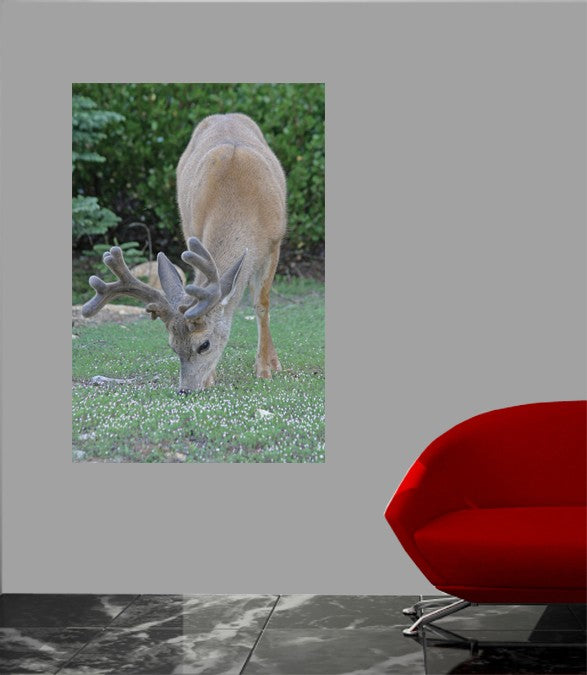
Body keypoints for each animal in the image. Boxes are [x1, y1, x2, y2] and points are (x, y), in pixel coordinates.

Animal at [82, 113, 287, 393]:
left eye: (204, 344)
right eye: (172, 346)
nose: (185, 389)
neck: (241, 202)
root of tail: (224, 115)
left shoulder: (274, 243)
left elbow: (262, 304)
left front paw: (264, 368)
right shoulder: (194, 233)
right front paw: (211, 378)